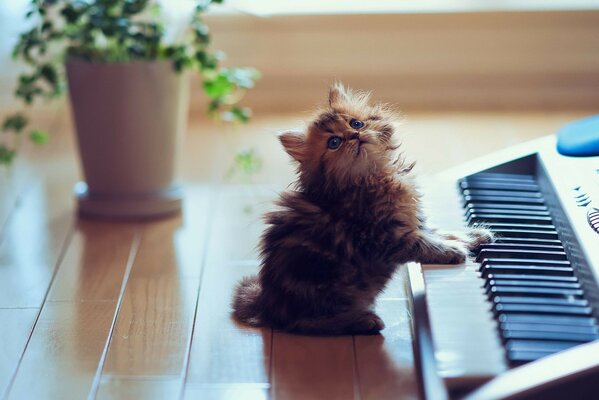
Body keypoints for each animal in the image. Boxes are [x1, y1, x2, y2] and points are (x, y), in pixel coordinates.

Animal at [231, 83, 492, 334]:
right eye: (334, 142)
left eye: (356, 123)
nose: (354, 135)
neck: (374, 175)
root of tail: (266, 303)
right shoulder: (384, 236)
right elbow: (423, 243)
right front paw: (452, 251)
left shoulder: (413, 220)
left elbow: (441, 232)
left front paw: (474, 236)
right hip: (323, 282)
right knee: (304, 324)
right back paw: (363, 321)